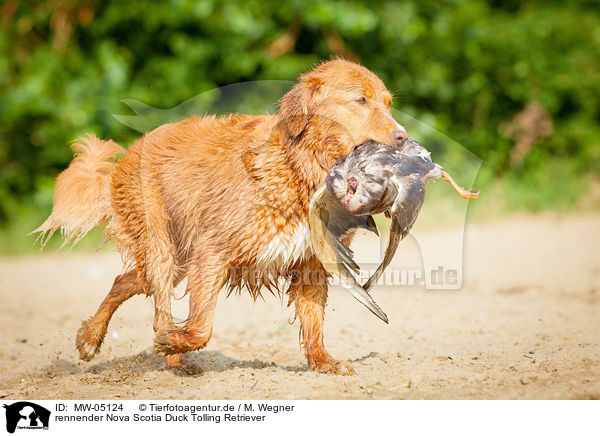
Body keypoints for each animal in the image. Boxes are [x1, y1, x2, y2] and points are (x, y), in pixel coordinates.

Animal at [35, 58, 410, 374]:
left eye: (388, 103)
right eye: (361, 100)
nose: (403, 137)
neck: (297, 168)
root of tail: (129, 152)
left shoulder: (311, 263)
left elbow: (314, 321)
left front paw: (323, 362)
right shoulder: (212, 250)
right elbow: (201, 326)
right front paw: (173, 340)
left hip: (177, 257)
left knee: (123, 281)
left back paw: (93, 339)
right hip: (162, 247)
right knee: (158, 307)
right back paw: (166, 353)